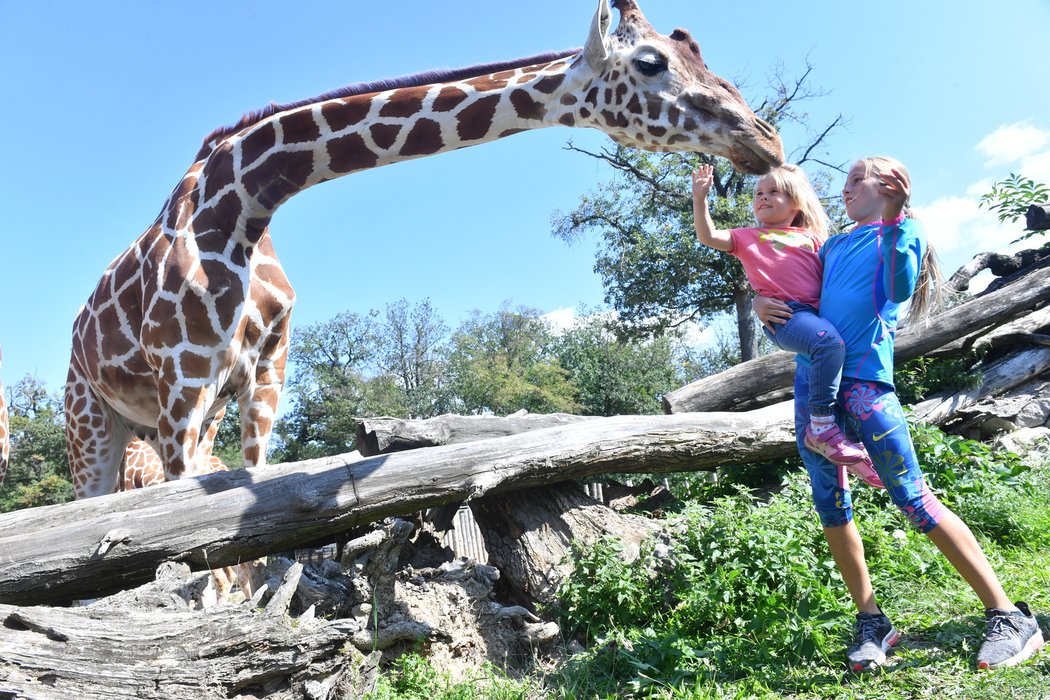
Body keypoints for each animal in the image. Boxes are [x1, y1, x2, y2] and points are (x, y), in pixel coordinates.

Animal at [63, 0, 781, 497]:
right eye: (651, 62)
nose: (764, 137)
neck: (240, 207)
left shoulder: (264, 376)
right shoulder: (183, 382)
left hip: (168, 419)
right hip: (94, 422)